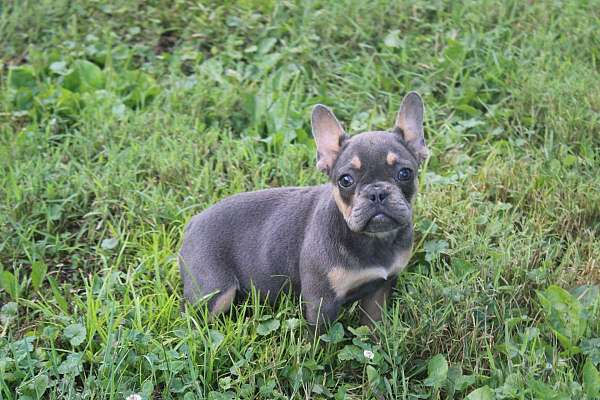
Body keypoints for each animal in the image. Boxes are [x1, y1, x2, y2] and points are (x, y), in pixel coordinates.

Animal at [178, 92, 426, 330]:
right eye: (345, 180)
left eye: (405, 173)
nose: (376, 193)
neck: (372, 240)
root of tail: (193, 222)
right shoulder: (322, 301)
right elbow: (322, 339)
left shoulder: (380, 290)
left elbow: (373, 325)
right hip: (215, 291)